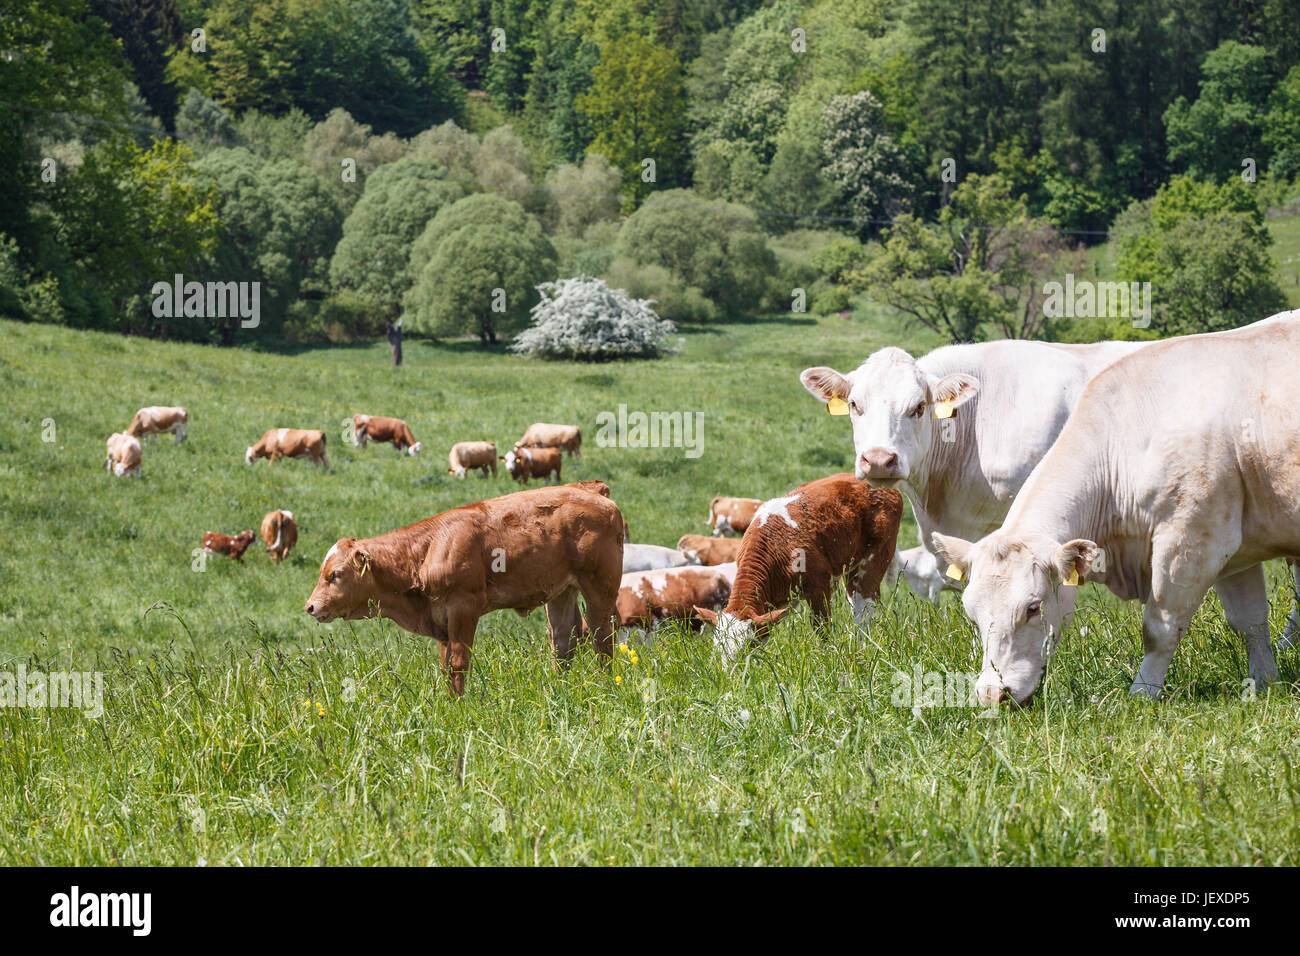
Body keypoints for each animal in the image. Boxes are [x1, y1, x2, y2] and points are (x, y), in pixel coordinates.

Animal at [304, 483, 624, 695]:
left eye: (336, 574)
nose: (310, 606)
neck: (428, 549)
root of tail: (590, 490)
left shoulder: (463, 608)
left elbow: (458, 663)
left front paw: (460, 706)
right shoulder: (440, 620)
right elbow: (446, 665)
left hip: (600, 586)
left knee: (602, 637)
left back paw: (605, 686)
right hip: (561, 592)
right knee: (564, 640)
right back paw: (561, 689)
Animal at [694, 474, 903, 659]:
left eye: (748, 646)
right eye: (718, 647)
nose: (732, 674)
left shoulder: (818, 587)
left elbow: (822, 627)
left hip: (874, 562)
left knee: (864, 608)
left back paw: (862, 646)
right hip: (850, 568)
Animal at [930, 311, 1300, 707]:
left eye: (1032, 607)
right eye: (971, 613)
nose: (991, 694)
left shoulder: (1193, 542)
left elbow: (1160, 628)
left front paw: (1142, 694)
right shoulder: (1235, 550)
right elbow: (1250, 622)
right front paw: (1265, 682)